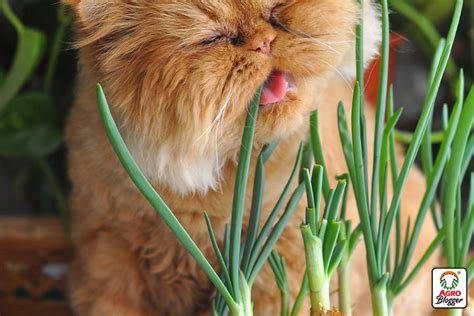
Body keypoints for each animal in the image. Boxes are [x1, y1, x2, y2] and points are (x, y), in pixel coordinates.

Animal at [65, 0, 438, 314]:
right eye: (214, 38)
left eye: (276, 8)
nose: (264, 42)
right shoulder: (109, 250)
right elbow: (112, 302)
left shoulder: (282, 256)